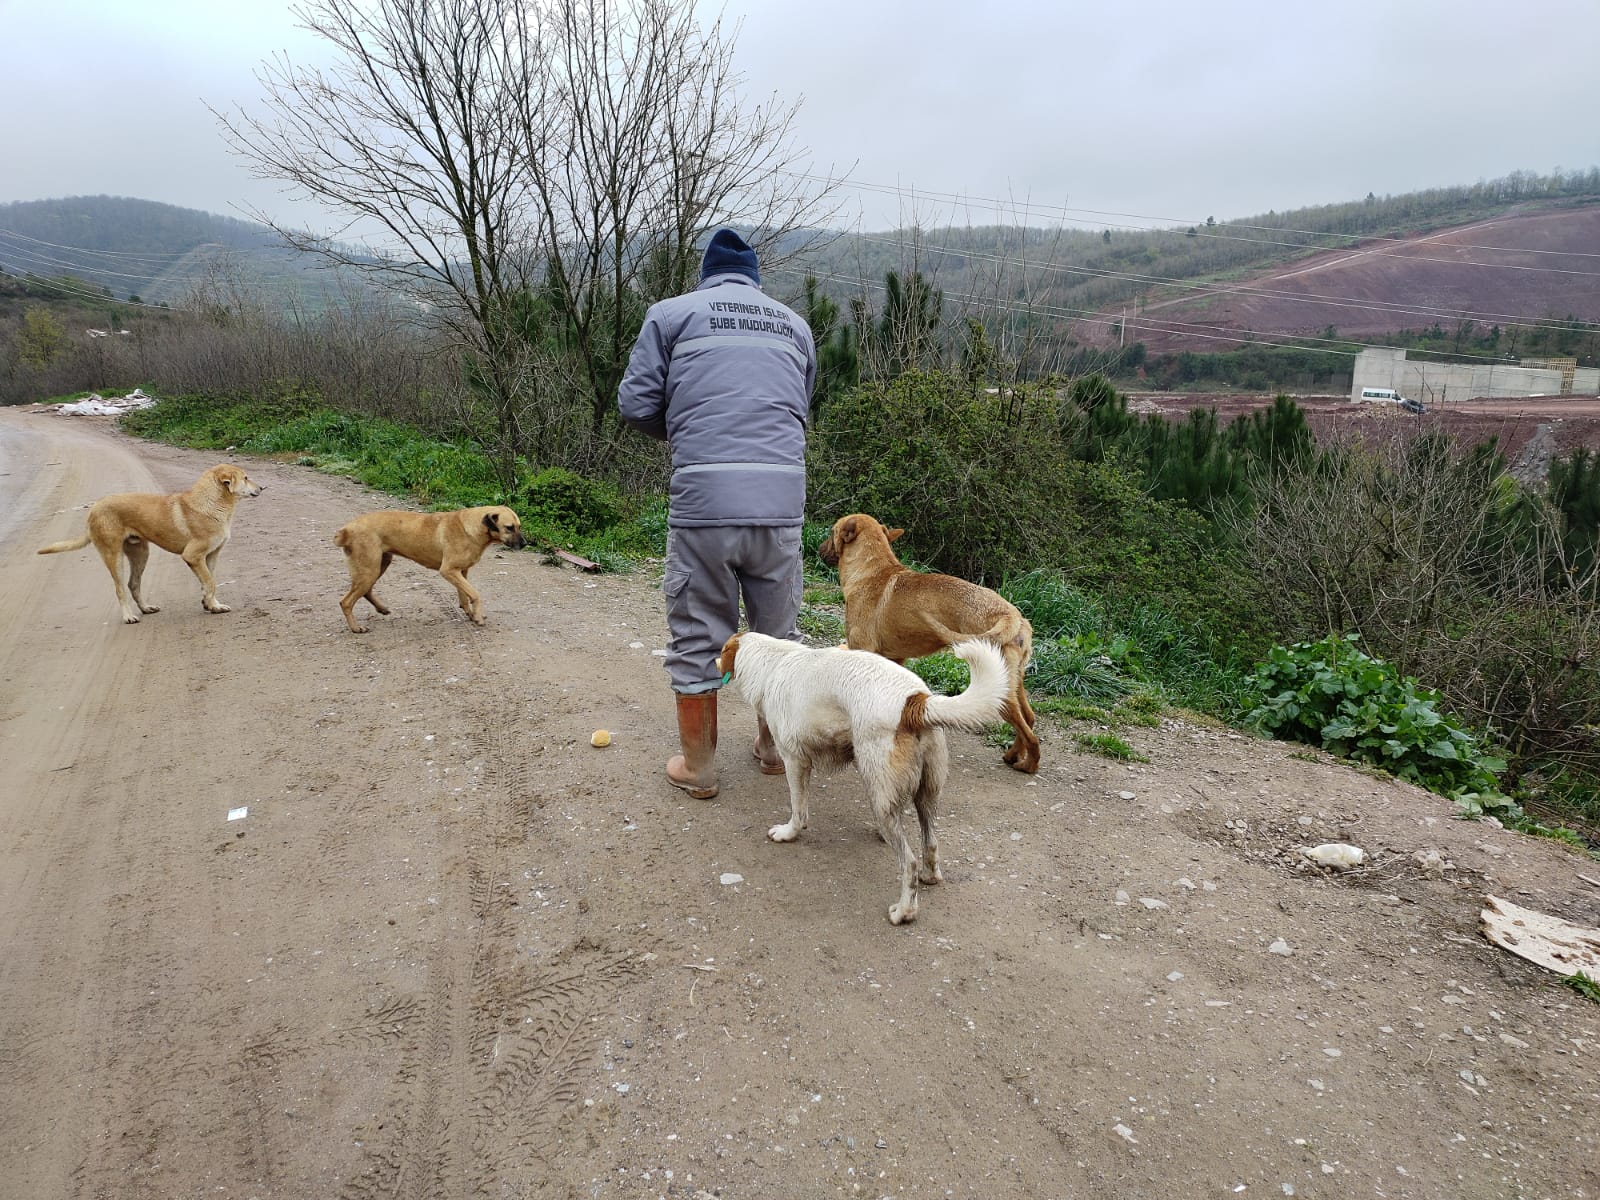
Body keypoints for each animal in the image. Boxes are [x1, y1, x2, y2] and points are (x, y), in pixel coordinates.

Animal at [37, 464, 264, 624]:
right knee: (120, 589)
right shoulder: (192, 556)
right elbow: (210, 582)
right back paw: (129, 617)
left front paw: (212, 605)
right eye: (245, 477)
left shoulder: (211, 555)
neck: (212, 504)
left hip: (140, 554)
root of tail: (94, 508)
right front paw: (211, 603)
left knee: (134, 585)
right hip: (114, 557)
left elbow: (209, 582)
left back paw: (146, 608)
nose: (262, 487)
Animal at [336, 508, 524, 640]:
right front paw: (477, 616)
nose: (525, 544)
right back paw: (356, 628)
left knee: (365, 592)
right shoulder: (448, 571)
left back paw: (382, 609)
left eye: (519, 526)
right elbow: (475, 594)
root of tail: (347, 529)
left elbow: (464, 596)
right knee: (346, 602)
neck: (472, 527)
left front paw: (470, 613)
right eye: (509, 528)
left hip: (379, 566)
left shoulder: (461, 572)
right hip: (369, 570)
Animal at [720, 630, 1004, 928]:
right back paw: (929, 876)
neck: (773, 663)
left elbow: (798, 810)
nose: (714, 660)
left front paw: (789, 833)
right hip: (926, 794)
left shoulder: (795, 761)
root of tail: (915, 700)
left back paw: (904, 911)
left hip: (879, 795)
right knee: (930, 842)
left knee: (909, 863)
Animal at [819, 512, 1043, 774]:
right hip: (1015, 684)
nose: (819, 550)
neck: (872, 571)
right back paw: (1013, 755)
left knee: (1030, 734)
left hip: (1001, 694)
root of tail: (1011, 616)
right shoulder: (894, 659)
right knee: (1029, 718)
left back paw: (1029, 765)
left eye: (832, 532)